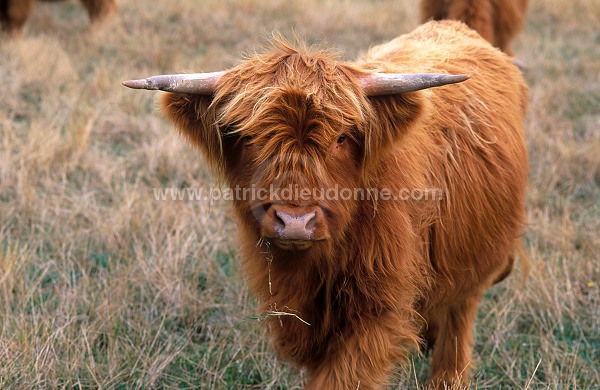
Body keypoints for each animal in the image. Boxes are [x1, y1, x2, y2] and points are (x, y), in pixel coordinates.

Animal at [124, 21, 528, 390]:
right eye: (249, 138)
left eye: (341, 138)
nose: (295, 221)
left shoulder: (378, 313)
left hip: (474, 259)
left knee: (459, 321)